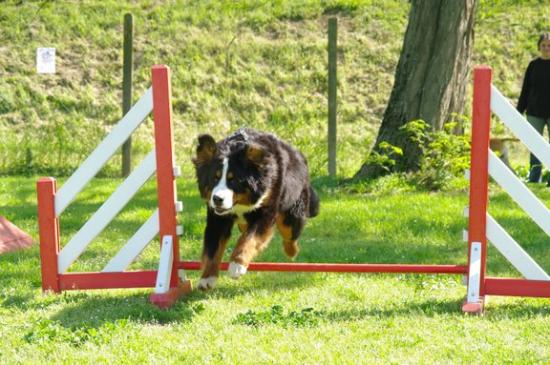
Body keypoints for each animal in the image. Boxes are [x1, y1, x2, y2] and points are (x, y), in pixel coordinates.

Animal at [193, 127, 320, 288]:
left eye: (233, 180)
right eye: (214, 178)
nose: (217, 199)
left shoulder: (265, 213)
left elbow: (249, 239)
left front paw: (237, 265)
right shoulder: (217, 219)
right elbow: (212, 249)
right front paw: (207, 278)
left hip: (292, 212)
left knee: (290, 236)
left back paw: (291, 252)